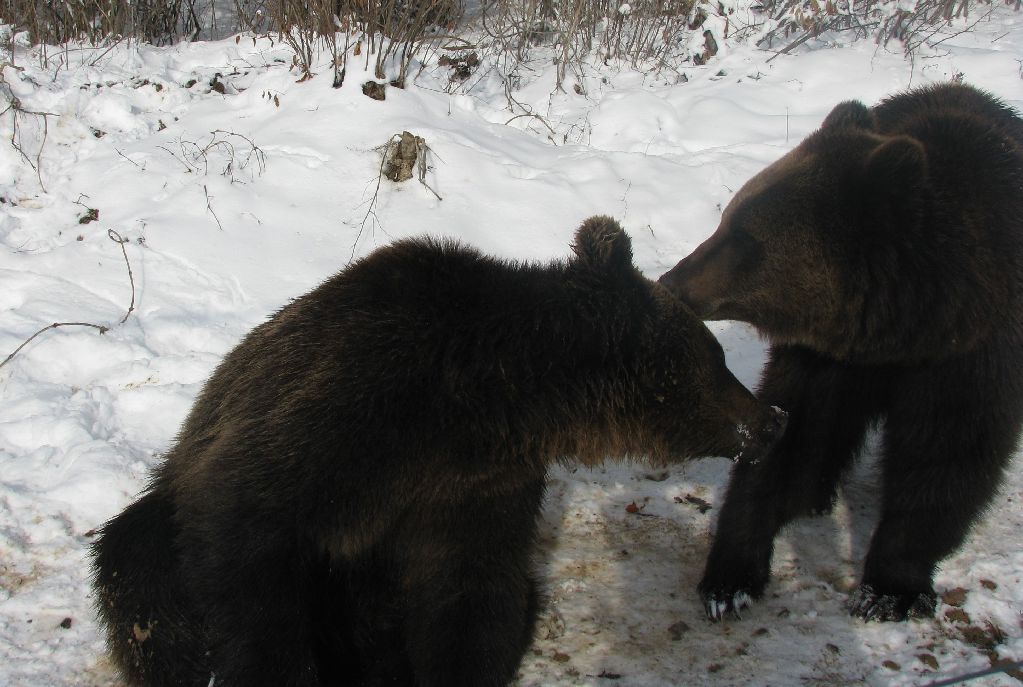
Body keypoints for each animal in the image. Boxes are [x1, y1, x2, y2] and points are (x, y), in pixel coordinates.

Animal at [94, 215, 781, 687]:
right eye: (717, 357)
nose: (771, 420)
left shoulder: (476, 482)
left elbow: (468, 593)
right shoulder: (348, 413)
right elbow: (245, 528)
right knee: (140, 567)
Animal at [654, 80, 1023, 621]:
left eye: (745, 237)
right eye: (728, 218)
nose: (672, 282)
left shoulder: (974, 352)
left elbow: (948, 455)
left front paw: (888, 590)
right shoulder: (824, 357)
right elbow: (794, 426)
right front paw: (729, 577)